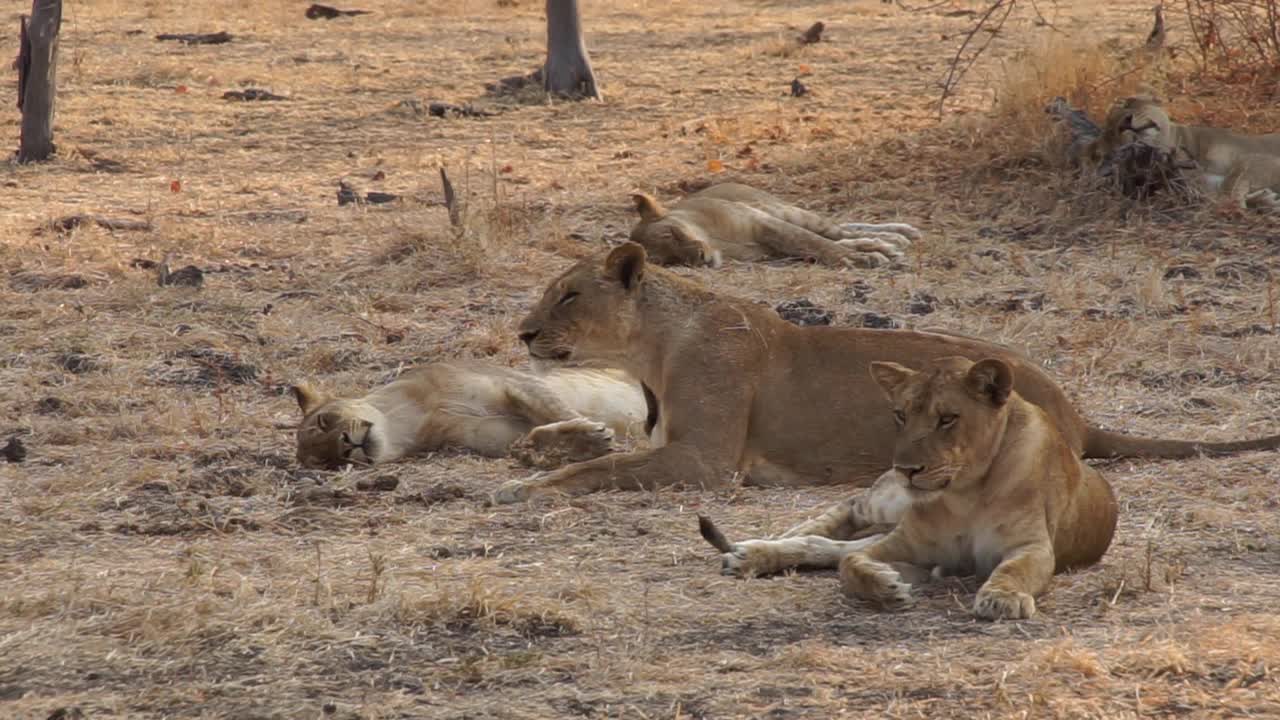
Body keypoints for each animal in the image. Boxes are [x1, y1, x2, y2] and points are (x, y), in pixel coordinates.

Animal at [629, 180, 921, 267]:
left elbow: (813, 242)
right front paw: (863, 255)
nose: (701, 258)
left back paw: (899, 234)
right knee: (843, 234)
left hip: (789, 211)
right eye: (669, 260)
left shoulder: (764, 223)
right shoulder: (771, 250)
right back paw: (889, 243)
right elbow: (811, 247)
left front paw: (861, 259)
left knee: (838, 229)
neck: (715, 241)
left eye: (672, 233)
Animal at [696, 353, 1116, 617]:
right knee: (845, 512)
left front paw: (1002, 599)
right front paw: (887, 587)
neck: (966, 494)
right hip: (888, 504)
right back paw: (758, 548)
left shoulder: (1032, 546)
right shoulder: (903, 542)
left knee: (829, 546)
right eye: (900, 415)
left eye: (947, 419)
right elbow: (850, 564)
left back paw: (749, 555)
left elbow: (1015, 570)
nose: (906, 469)